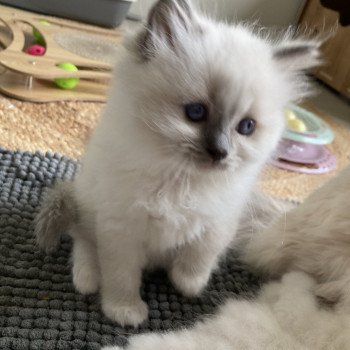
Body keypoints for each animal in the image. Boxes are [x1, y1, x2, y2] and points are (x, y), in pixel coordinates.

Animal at [34, 0, 320, 326]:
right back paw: (87, 279)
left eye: (246, 127)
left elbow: (200, 257)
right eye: (195, 112)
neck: (181, 181)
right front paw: (124, 311)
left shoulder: (219, 221)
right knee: (83, 241)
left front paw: (188, 285)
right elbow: (121, 277)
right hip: (88, 204)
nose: (220, 152)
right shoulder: (121, 230)